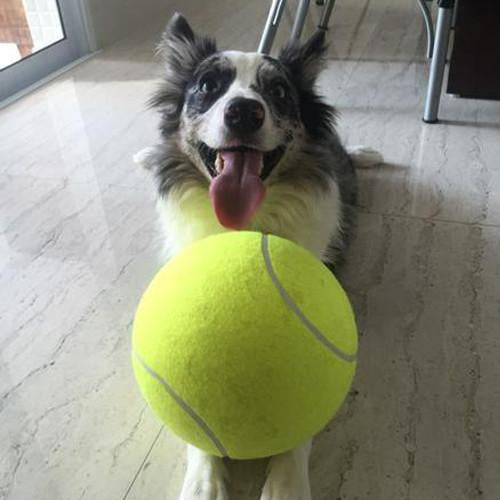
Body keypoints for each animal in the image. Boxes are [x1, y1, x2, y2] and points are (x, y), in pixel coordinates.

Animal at [135, 12, 380, 500]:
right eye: (208, 86)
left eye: (279, 92)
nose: (244, 111)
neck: (249, 223)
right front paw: (202, 484)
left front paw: (287, 483)